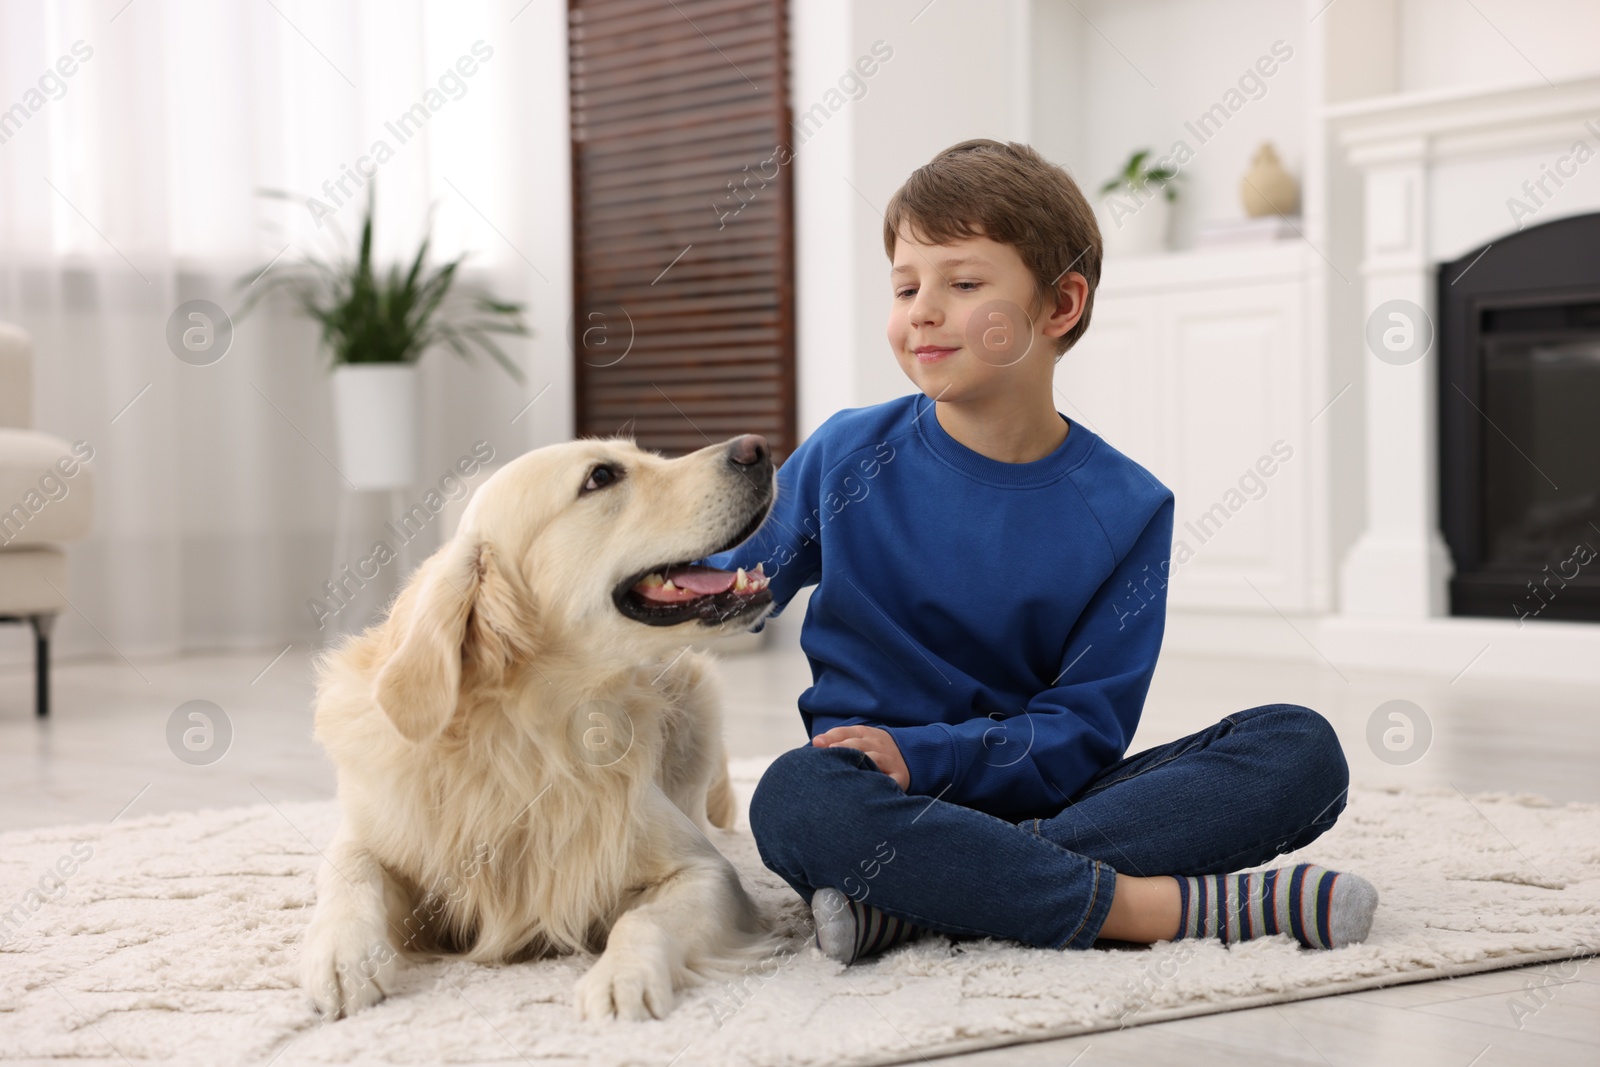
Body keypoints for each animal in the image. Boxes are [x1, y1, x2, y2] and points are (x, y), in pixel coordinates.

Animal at [300, 431, 787, 1017]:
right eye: (600, 477)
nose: (756, 447)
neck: (528, 735)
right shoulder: (375, 829)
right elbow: (351, 868)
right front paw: (341, 955)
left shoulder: (706, 872)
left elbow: (644, 919)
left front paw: (623, 976)